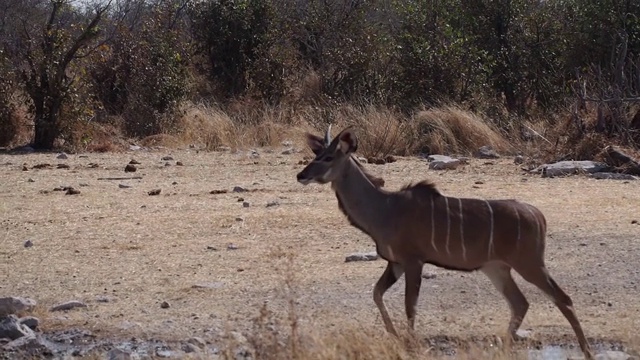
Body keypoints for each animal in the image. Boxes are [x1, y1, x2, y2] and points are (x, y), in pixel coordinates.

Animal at [296, 125, 596, 358]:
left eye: (329, 157)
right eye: (316, 154)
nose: (301, 175)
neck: (384, 208)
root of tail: (538, 216)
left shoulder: (413, 261)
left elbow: (410, 305)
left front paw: (410, 343)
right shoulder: (395, 263)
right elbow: (377, 293)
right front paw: (395, 336)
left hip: (529, 264)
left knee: (562, 298)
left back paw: (587, 351)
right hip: (496, 268)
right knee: (520, 303)